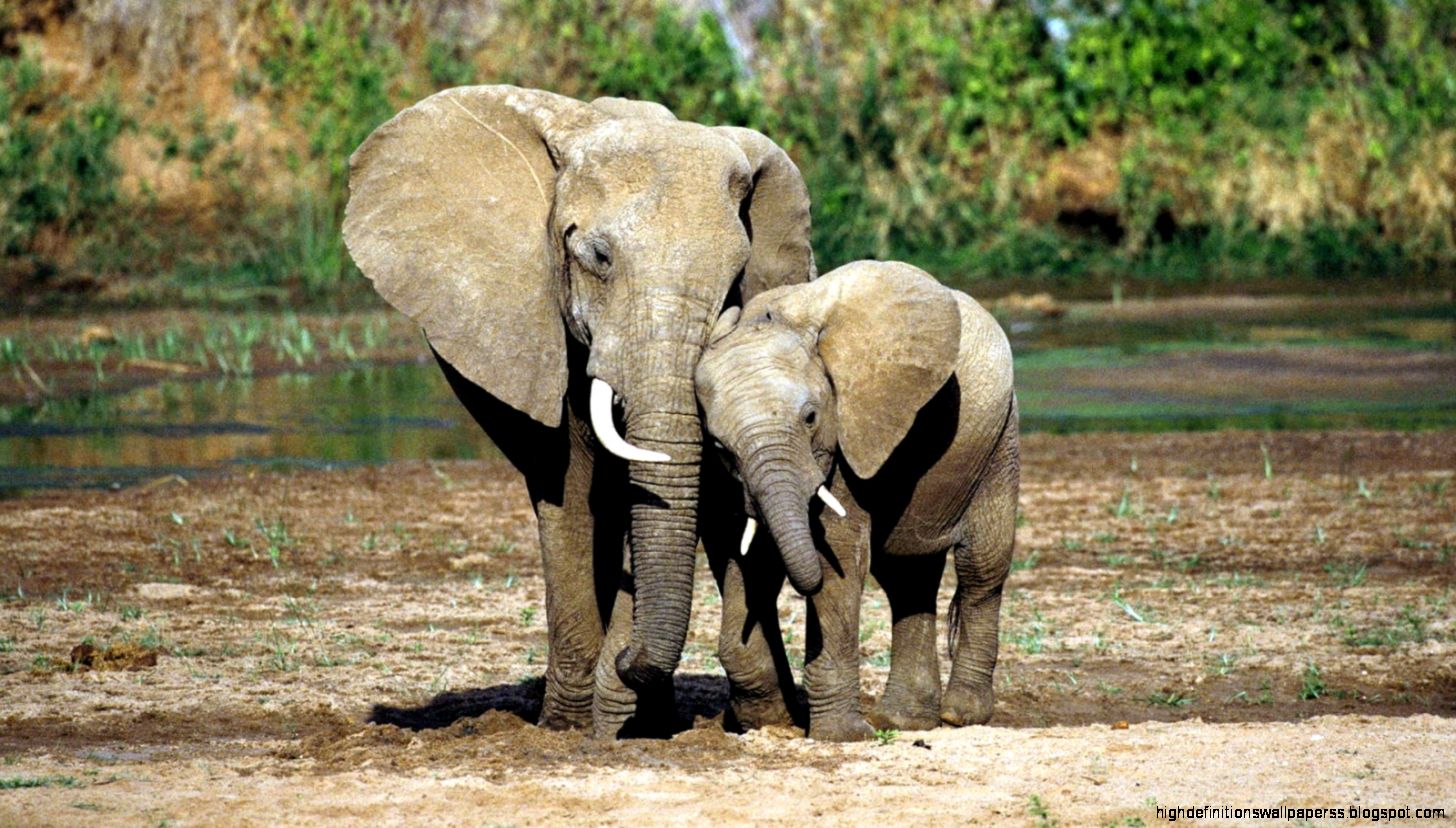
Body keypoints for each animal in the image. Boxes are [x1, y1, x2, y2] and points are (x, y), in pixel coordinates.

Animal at [694, 260, 1020, 741]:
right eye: (719, 445)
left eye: (811, 417)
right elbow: (748, 557)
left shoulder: (851, 434)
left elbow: (838, 559)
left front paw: (841, 736)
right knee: (908, 578)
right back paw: (904, 721)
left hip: (998, 440)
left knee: (981, 568)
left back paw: (958, 715)